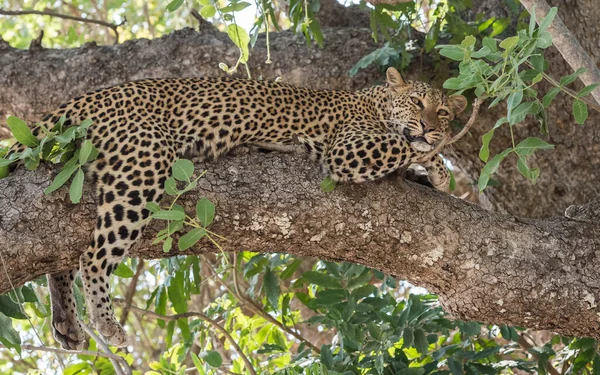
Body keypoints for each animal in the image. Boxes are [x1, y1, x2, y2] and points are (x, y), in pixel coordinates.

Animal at [8, 67, 468, 350]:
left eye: (442, 110)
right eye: (416, 103)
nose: (430, 124)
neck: (376, 102)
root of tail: (87, 97)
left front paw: (433, 170)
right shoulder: (348, 149)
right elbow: (404, 145)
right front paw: (437, 163)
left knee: (65, 254)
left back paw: (67, 323)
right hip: (144, 161)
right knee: (93, 255)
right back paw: (105, 322)